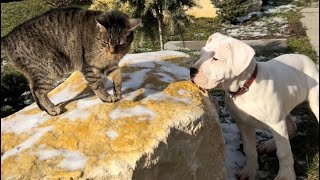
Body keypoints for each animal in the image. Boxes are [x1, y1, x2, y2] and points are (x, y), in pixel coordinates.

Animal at [1, 7, 141, 115]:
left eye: (120, 44)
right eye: (106, 42)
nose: (111, 51)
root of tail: (7, 37)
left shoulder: (109, 66)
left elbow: (118, 76)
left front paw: (117, 92)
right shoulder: (90, 67)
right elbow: (98, 85)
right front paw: (106, 97)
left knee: (32, 89)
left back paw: (44, 109)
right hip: (49, 70)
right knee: (38, 91)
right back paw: (51, 110)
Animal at [191, 32, 318, 180]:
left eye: (215, 59)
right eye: (201, 54)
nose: (191, 70)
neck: (246, 88)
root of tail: (305, 57)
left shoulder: (276, 124)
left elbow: (283, 153)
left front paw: (285, 176)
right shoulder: (243, 123)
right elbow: (249, 149)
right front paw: (249, 171)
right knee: (291, 126)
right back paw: (269, 145)